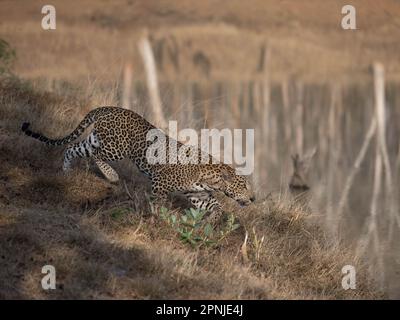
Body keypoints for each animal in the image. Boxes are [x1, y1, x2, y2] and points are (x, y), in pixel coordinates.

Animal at [20, 107, 255, 222]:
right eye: (243, 186)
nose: (253, 198)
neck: (212, 180)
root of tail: (108, 108)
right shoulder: (161, 183)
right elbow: (158, 203)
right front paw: (158, 218)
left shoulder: (198, 195)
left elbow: (217, 207)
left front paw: (212, 221)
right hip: (115, 148)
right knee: (95, 155)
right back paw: (111, 176)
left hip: (98, 139)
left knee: (72, 148)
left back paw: (66, 172)